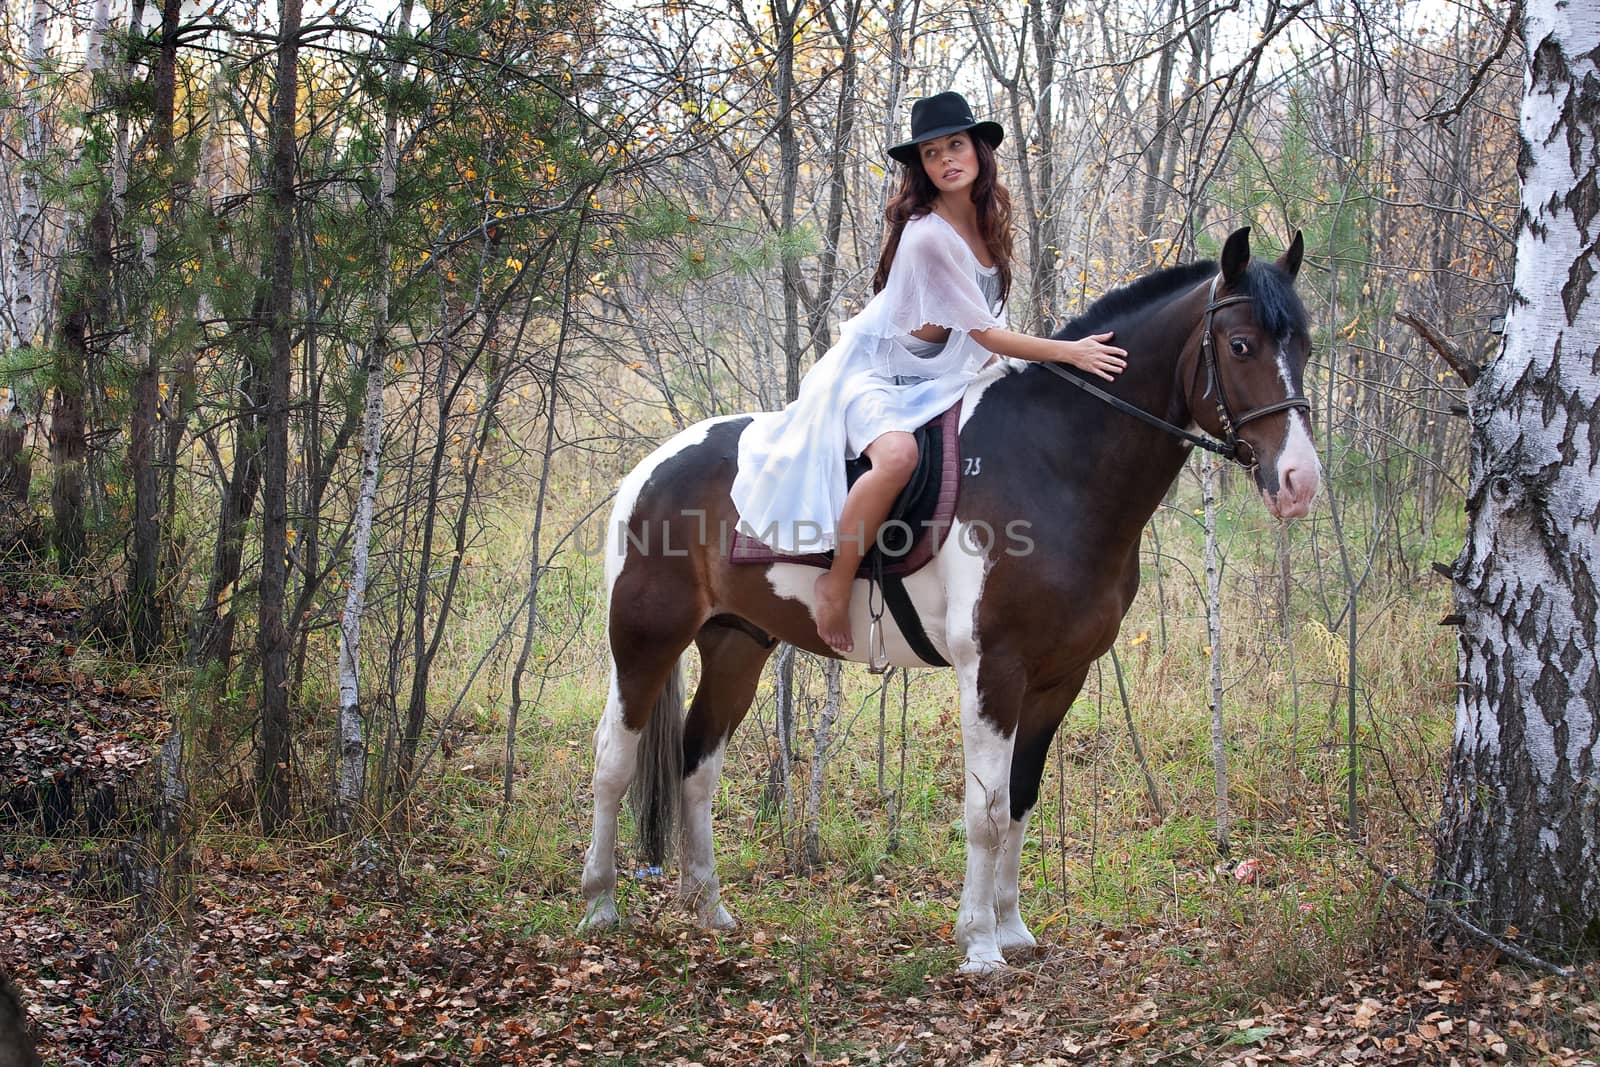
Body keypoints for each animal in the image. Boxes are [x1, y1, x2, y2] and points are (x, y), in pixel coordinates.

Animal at [582, 227, 1318, 979]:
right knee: (613, 761)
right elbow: (985, 812)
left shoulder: (1059, 677)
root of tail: (653, 467)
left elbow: (1020, 799)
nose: (1299, 479)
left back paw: (709, 908)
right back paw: (599, 907)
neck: (1056, 464)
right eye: (1241, 346)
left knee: (698, 766)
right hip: (643, 642)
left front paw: (1014, 928)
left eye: (1304, 348)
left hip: (737, 643)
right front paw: (980, 944)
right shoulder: (993, 670)